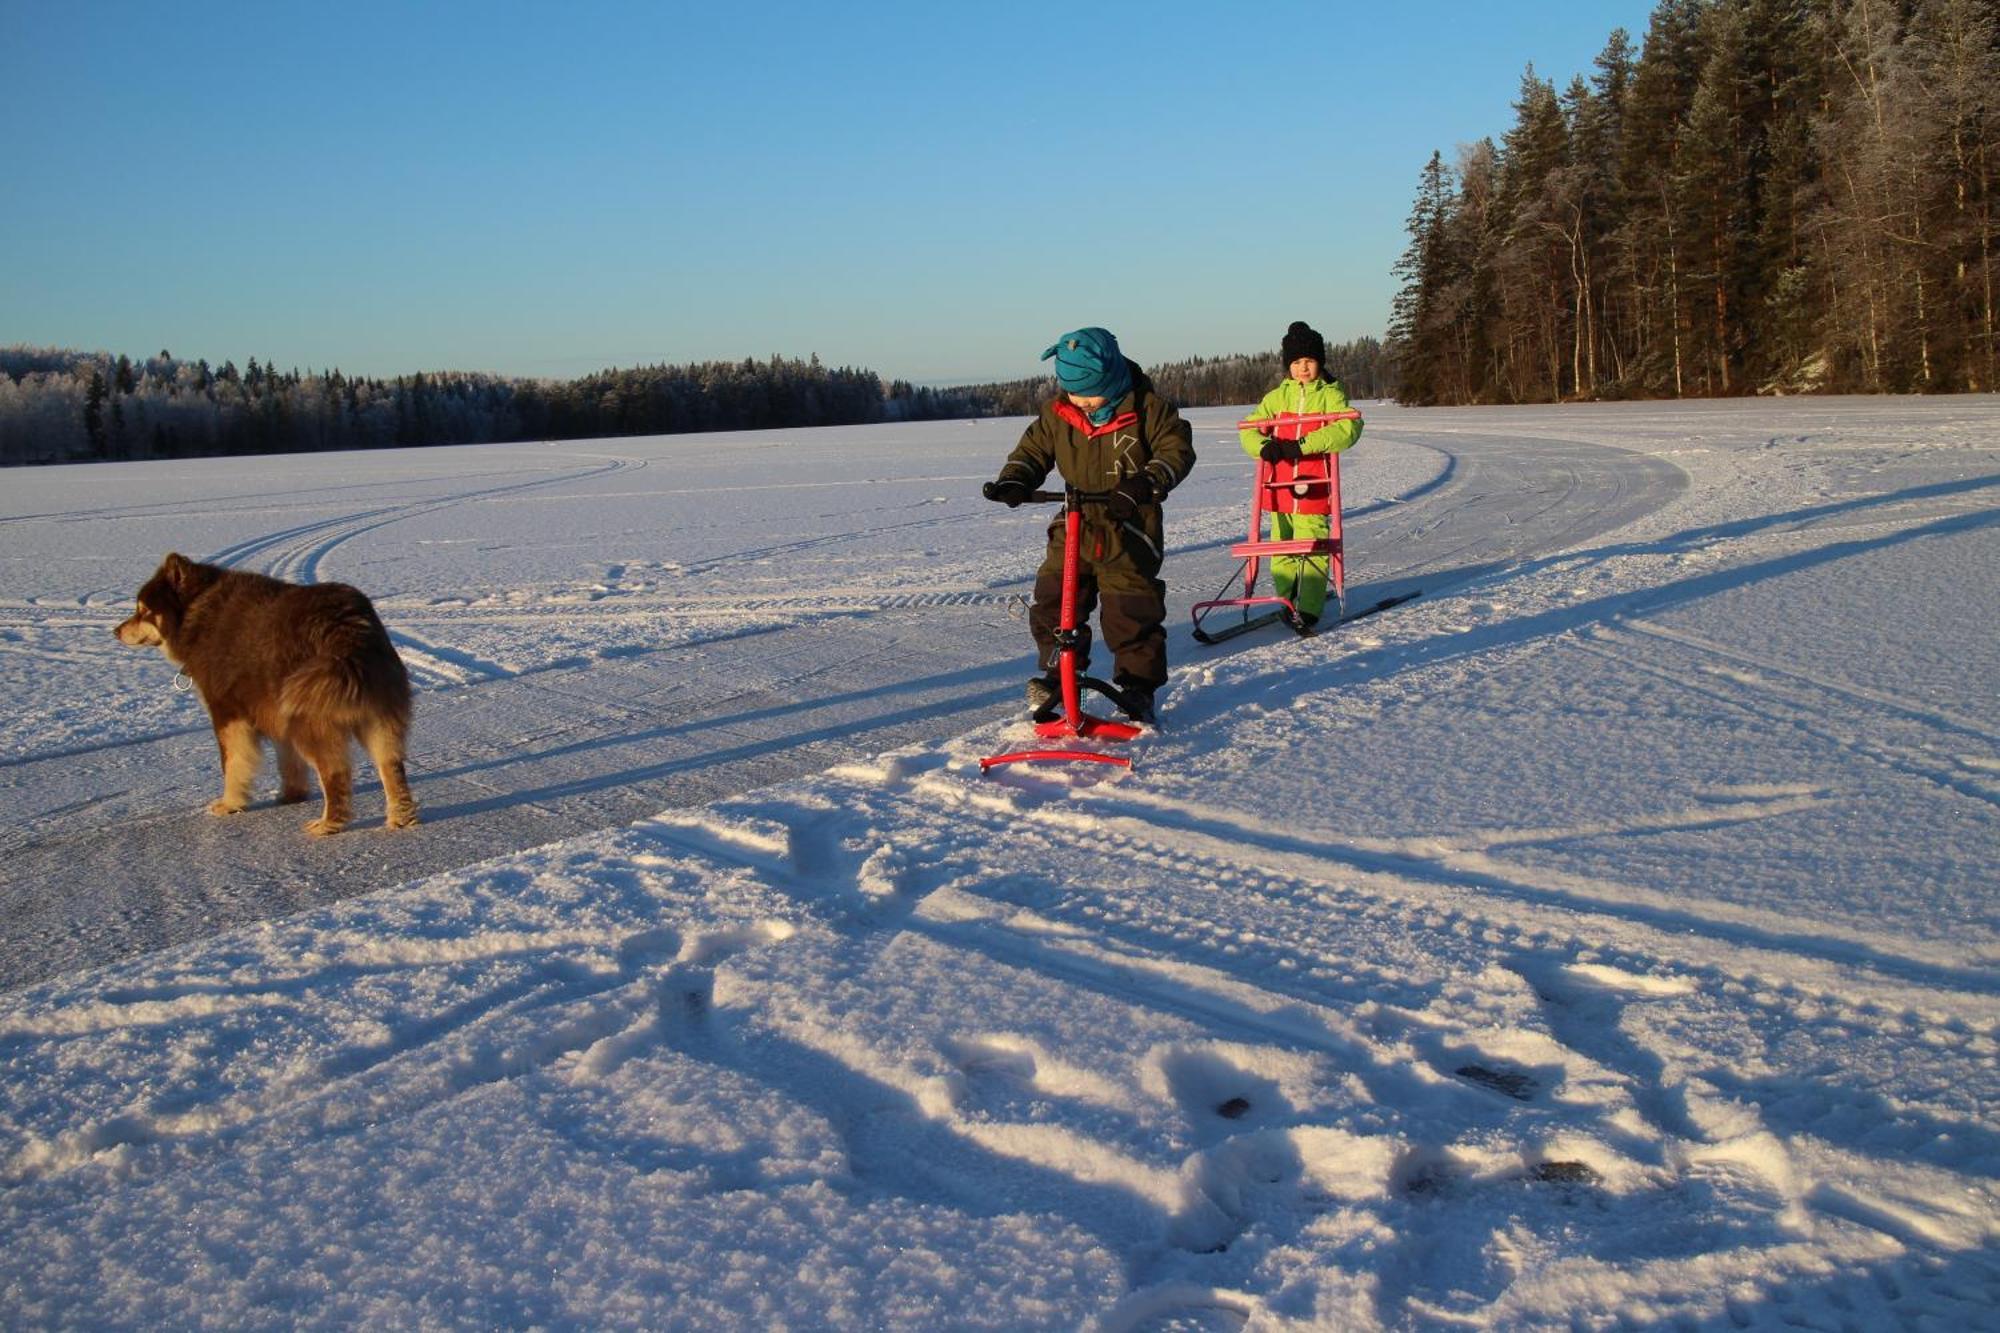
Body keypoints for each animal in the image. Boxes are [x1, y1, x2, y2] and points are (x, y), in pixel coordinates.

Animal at [113, 548, 418, 832]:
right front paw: (292, 795)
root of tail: (347, 628)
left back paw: (329, 824)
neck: (196, 613)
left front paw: (230, 804)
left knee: (336, 772)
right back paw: (400, 818)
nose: (115, 631)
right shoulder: (275, 713)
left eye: (143, 610)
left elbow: (232, 763)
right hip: (376, 715)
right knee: (392, 767)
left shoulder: (228, 713)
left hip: (310, 718)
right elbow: (289, 762)